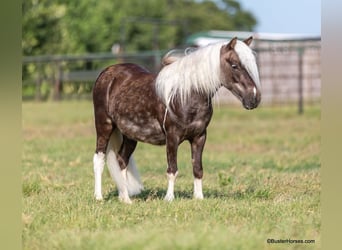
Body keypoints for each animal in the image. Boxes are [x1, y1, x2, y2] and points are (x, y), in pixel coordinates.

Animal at [92, 36, 260, 203]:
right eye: (234, 65)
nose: (254, 98)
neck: (186, 95)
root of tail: (106, 73)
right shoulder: (172, 137)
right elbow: (172, 169)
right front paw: (169, 198)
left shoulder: (199, 137)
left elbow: (197, 169)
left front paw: (199, 197)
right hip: (104, 126)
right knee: (99, 159)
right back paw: (99, 197)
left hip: (130, 135)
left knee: (122, 160)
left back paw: (125, 198)